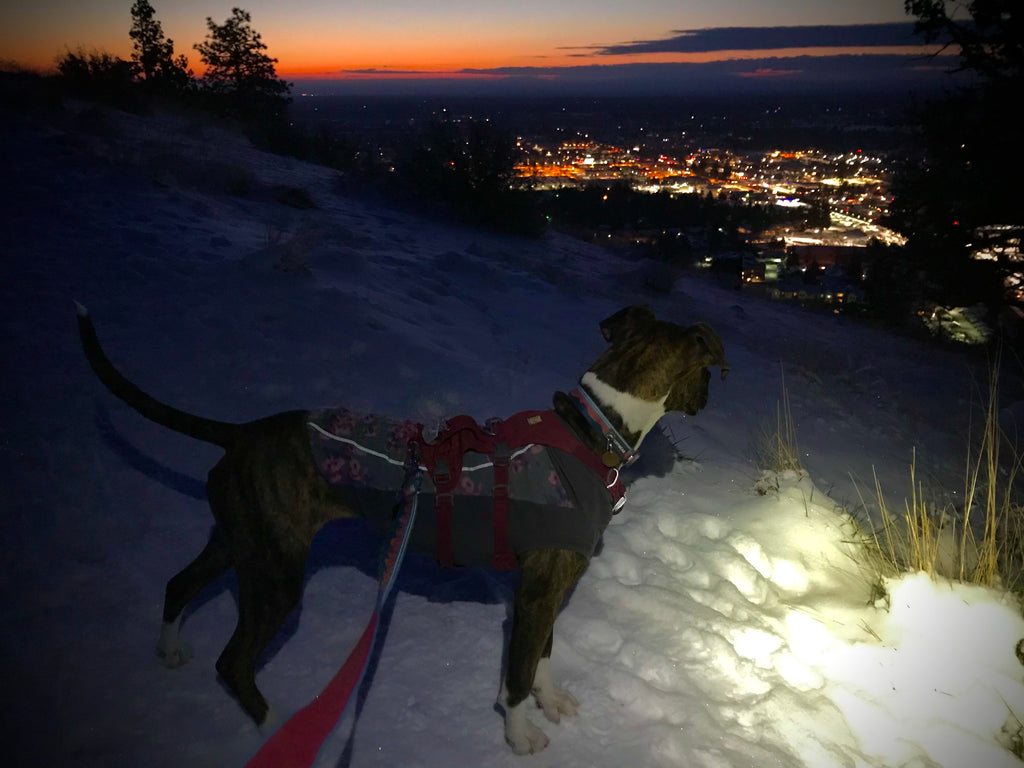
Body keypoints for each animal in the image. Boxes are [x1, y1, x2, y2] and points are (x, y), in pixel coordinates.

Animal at [74, 303, 729, 753]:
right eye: (707, 372)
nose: (709, 398)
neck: (595, 428)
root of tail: (243, 434)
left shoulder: (552, 587)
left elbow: (542, 654)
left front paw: (551, 700)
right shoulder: (538, 592)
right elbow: (517, 673)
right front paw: (520, 734)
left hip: (241, 544)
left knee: (178, 586)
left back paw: (169, 647)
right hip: (276, 576)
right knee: (232, 664)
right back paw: (280, 729)